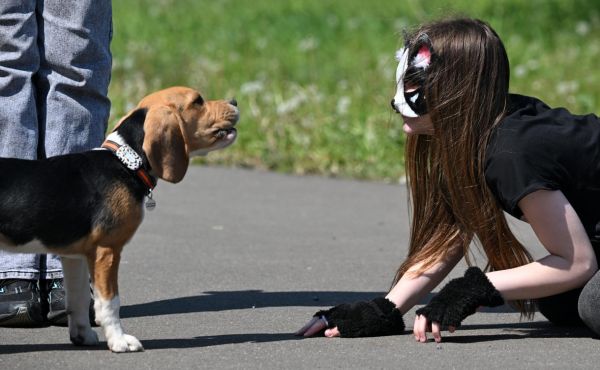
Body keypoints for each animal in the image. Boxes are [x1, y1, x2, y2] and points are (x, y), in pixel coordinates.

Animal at [0, 85, 239, 352]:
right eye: (198, 101)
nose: (234, 101)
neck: (126, 162)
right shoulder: (107, 250)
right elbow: (110, 302)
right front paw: (119, 340)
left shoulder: (75, 257)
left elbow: (79, 299)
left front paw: (82, 335)